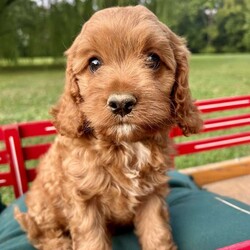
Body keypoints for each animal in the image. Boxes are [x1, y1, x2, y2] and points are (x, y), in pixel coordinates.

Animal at [14, 4, 202, 250]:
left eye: (153, 58)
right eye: (94, 63)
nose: (121, 103)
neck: (126, 145)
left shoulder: (151, 195)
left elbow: (157, 232)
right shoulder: (83, 199)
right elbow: (91, 240)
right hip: (42, 207)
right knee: (41, 232)